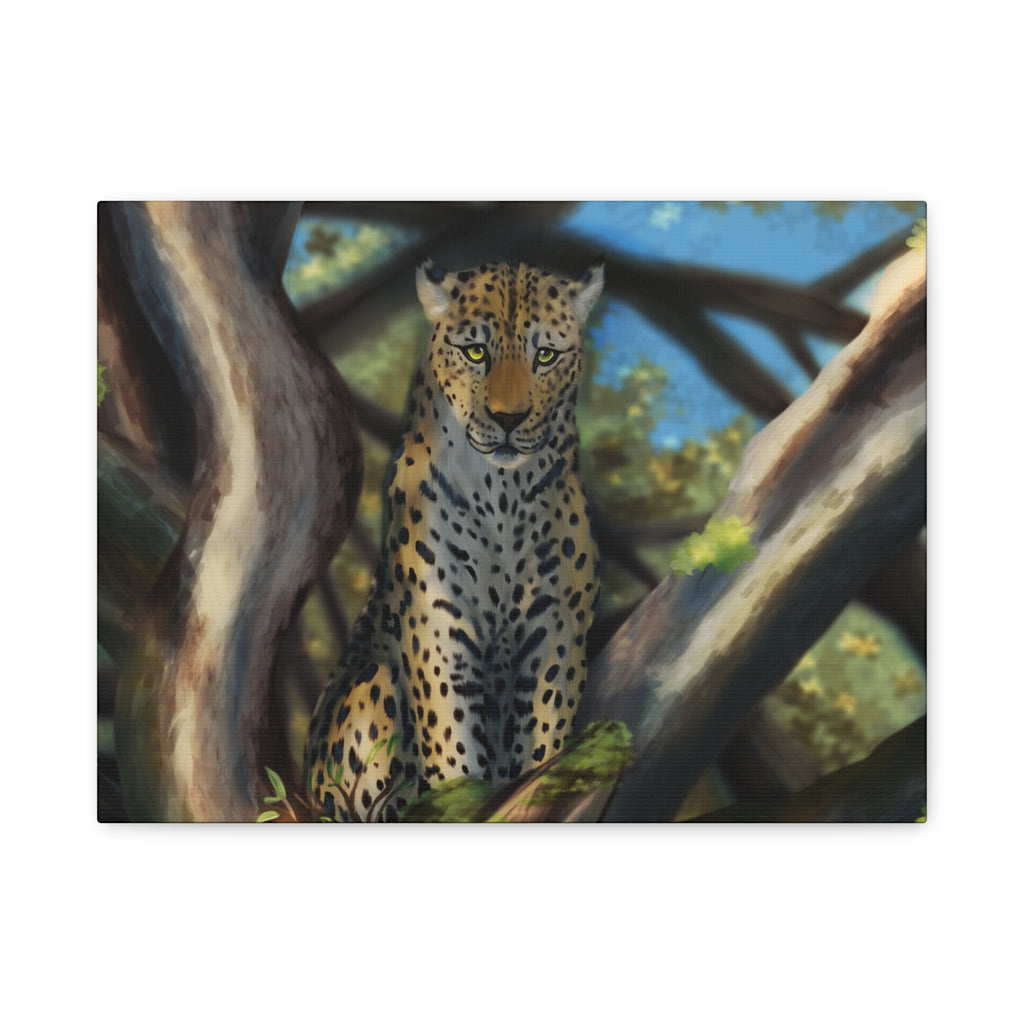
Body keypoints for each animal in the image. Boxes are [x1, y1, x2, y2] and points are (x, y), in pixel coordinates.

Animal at [304, 256, 604, 821]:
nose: (508, 419)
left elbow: (544, 733)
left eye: (546, 355)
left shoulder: (555, 625)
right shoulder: (438, 625)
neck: (504, 494)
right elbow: (453, 742)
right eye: (475, 351)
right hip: (370, 690)